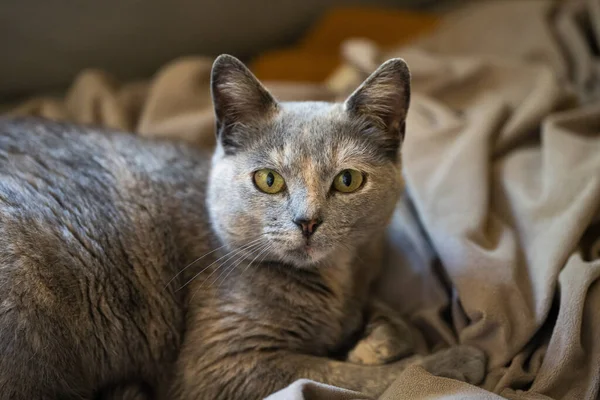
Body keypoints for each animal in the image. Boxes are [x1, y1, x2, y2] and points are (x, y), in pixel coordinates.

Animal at [0, 54, 488, 400]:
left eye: (347, 180)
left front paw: (378, 340)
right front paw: (450, 361)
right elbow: (344, 376)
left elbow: (389, 318)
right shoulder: (222, 364)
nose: (307, 221)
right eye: (268, 180)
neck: (335, 283)